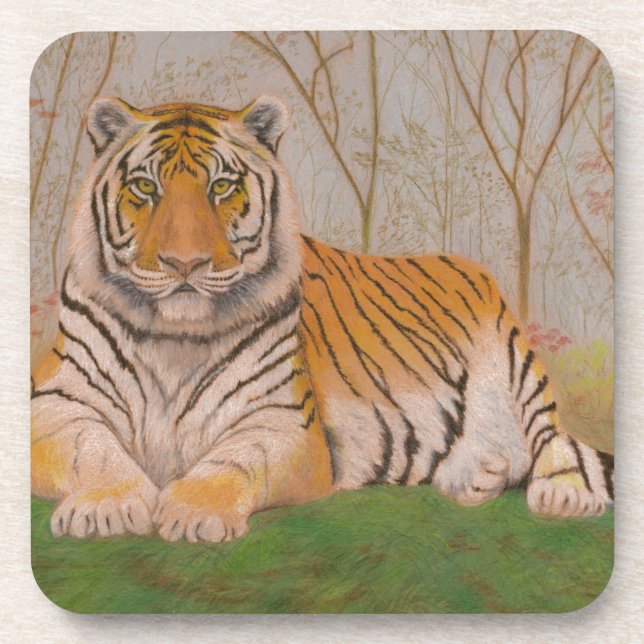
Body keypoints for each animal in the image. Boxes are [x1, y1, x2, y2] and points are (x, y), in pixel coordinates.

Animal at [31, 95, 614, 542]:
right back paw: (478, 474)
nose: (184, 264)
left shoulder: (282, 419)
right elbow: (92, 449)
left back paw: (561, 493)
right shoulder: (56, 403)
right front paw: (105, 507)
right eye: (145, 187)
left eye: (221, 187)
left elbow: (235, 457)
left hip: (516, 363)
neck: (175, 337)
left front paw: (196, 511)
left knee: (555, 439)